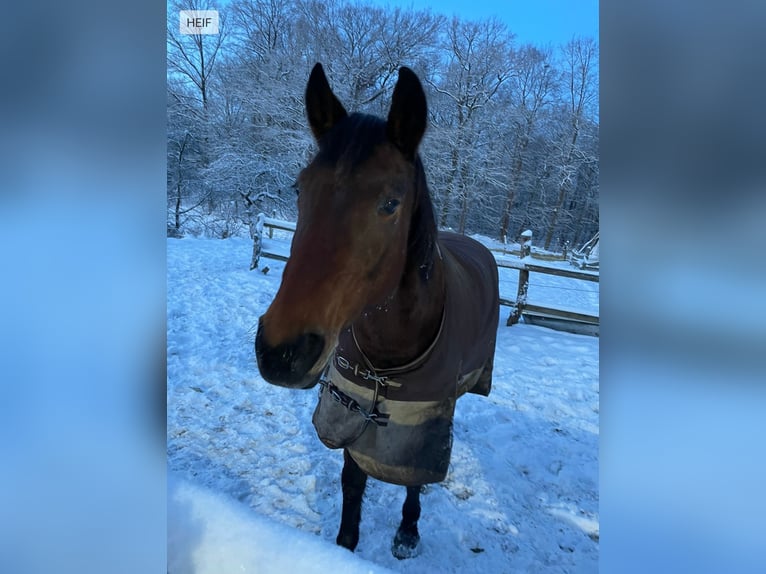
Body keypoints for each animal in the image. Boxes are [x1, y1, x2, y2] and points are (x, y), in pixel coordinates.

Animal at [255, 64, 500, 564]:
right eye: (299, 188)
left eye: (391, 202)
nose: (282, 352)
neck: (388, 352)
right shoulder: (351, 407)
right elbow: (353, 483)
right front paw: (345, 546)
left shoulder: (420, 425)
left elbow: (413, 478)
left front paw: (407, 530)